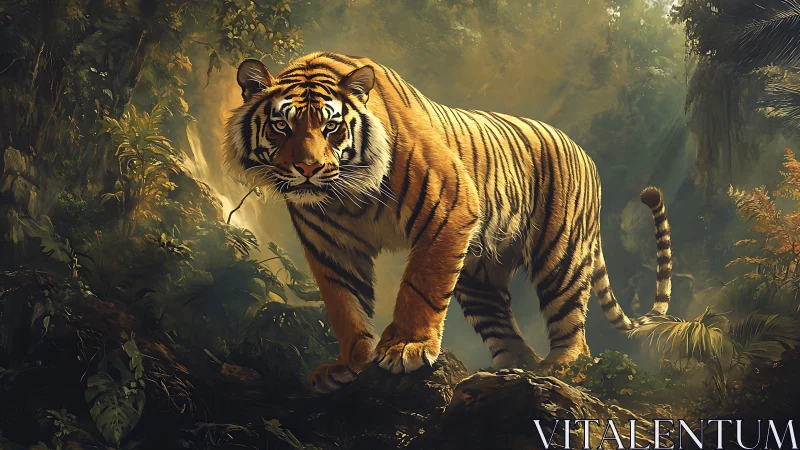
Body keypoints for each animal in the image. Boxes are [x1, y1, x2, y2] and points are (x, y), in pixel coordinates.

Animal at [222, 52, 674, 393]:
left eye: (331, 127)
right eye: (281, 126)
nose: (308, 169)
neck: (345, 196)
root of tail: (585, 153)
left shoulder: (449, 206)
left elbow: (419, 286)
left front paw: (405, 347)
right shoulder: (330, 246)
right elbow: (344, 304)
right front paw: (350, 364)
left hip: (559, 255)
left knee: (572, 327)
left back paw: (559, 369)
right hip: (479, 277)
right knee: (509, 336)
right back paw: (509, 373)